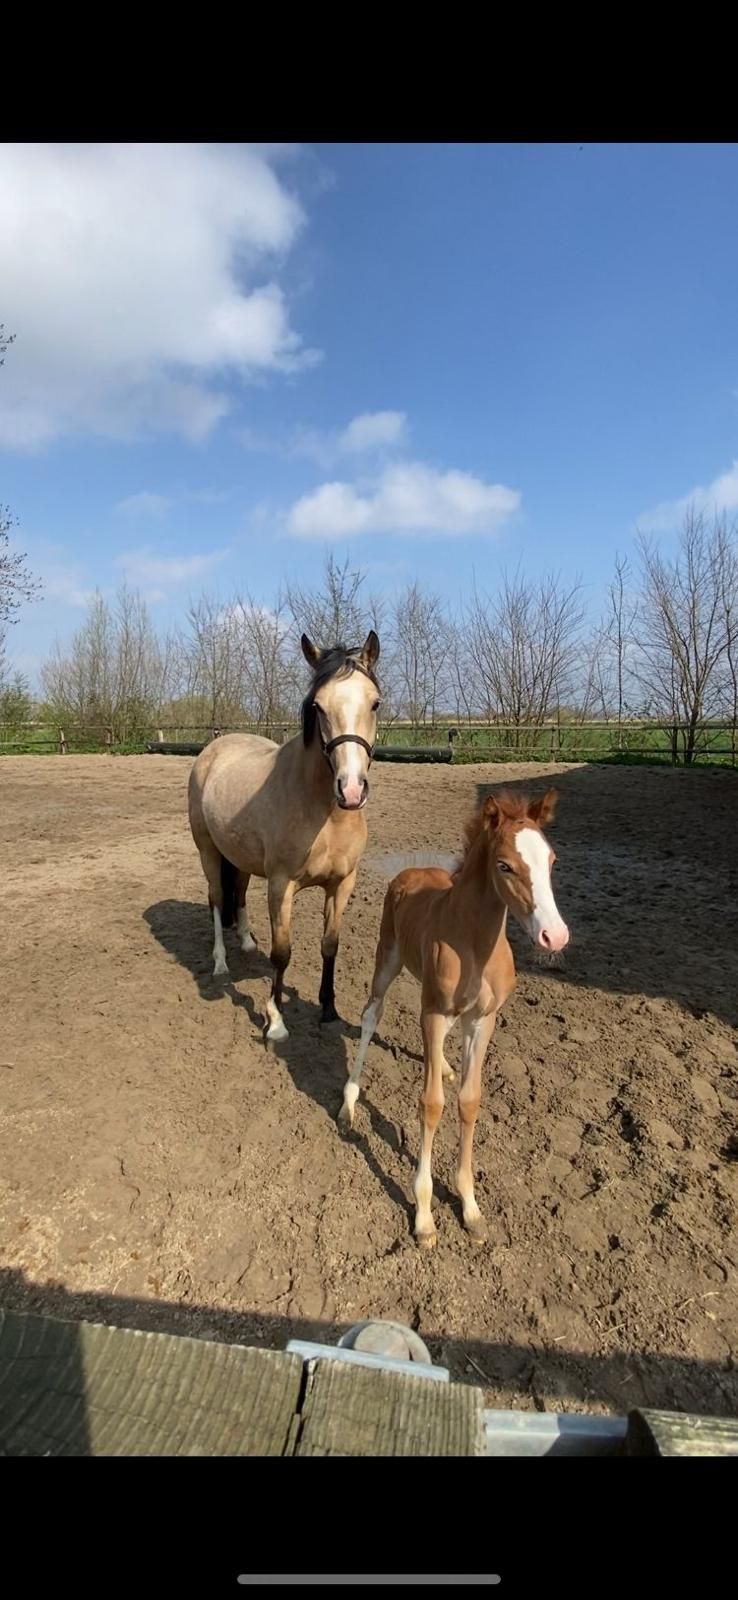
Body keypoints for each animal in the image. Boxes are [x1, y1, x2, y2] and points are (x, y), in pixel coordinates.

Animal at [188, 630, 381, 1044]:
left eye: (375, 703)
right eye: (318, 707)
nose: (351, 789)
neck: (324, 813)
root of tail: (215, 747)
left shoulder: (342, 884)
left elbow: (330, 945)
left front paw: (328, 1011)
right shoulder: (281, 885)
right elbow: (282, 952)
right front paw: (275, 1020)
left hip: (239, 857)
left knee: (239, 892)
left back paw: (246, 942)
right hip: (208, 850)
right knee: (216, 899)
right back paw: (220, 962)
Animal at [338, 786, 569, 1247]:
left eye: (552, 860)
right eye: (505, 865)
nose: (555, 936)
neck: (474, 944)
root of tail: (411, 872)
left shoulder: (482, 1020)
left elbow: (468, 1100)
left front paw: (470, 1206)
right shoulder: (435, 1012)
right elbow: (431, 1105)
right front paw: (424, 1215)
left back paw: (442, 1066)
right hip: (388, 959)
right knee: (371, 1016)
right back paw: (349, 1103)